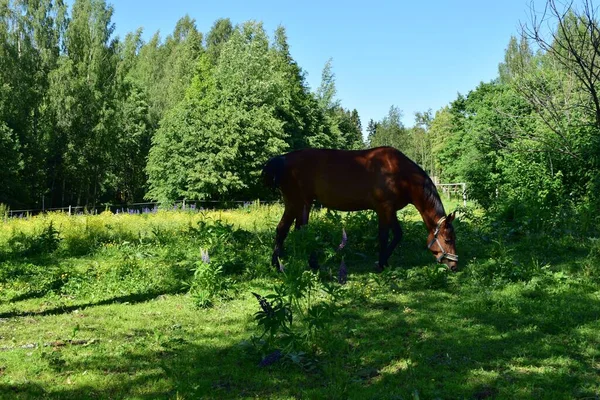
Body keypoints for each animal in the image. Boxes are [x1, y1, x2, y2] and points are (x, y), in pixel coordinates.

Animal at [264, 146, 460, 272]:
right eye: (448, 239)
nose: (454, 266)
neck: (400, 173)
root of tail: (283, 159)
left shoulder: (390, 210)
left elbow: (397, 234)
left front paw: (384, 261)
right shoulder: (383, 209)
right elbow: (384, 236)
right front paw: (380, 264)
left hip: (300, 204)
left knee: (293, 231)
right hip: (297, 203)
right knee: (290, 230)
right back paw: (289, 265)